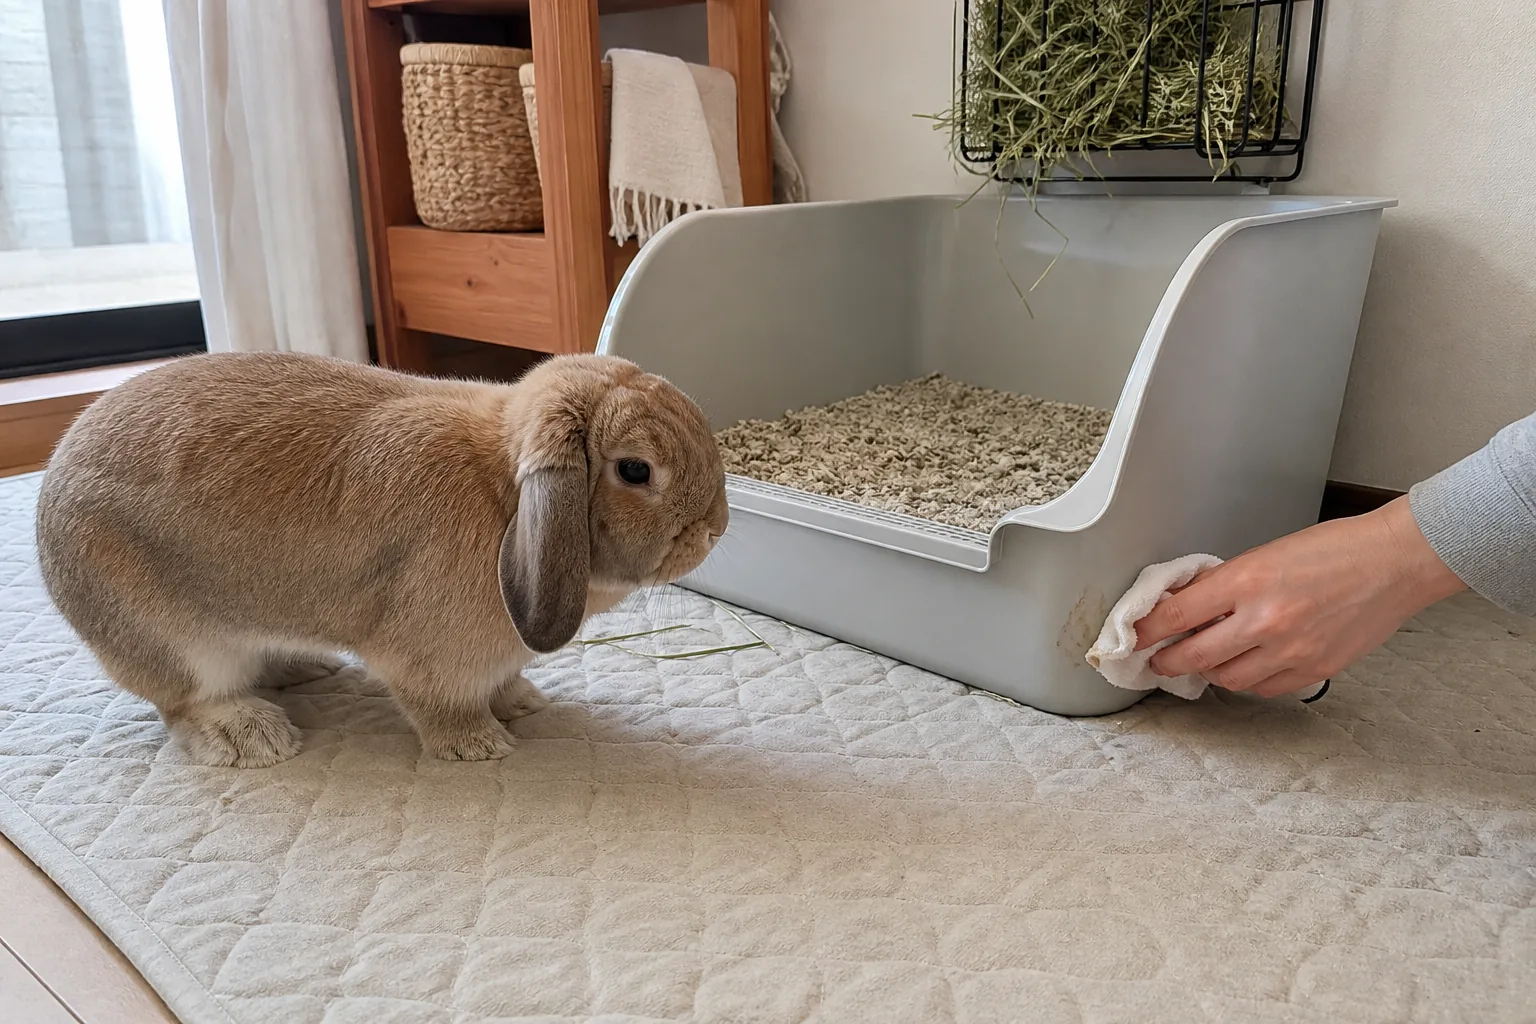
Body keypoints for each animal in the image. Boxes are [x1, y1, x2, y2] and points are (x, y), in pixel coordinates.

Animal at [35, 351, 729, 767]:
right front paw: (480, 746)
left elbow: (501, 682)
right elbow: (441, 704)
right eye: (635, 470)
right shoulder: (430, 662)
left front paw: (523, 701)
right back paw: (253, 738)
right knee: (185, 701)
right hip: (173, 642)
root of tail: (50, 490)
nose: (715, 530)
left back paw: (306, 667)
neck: (502, 495)